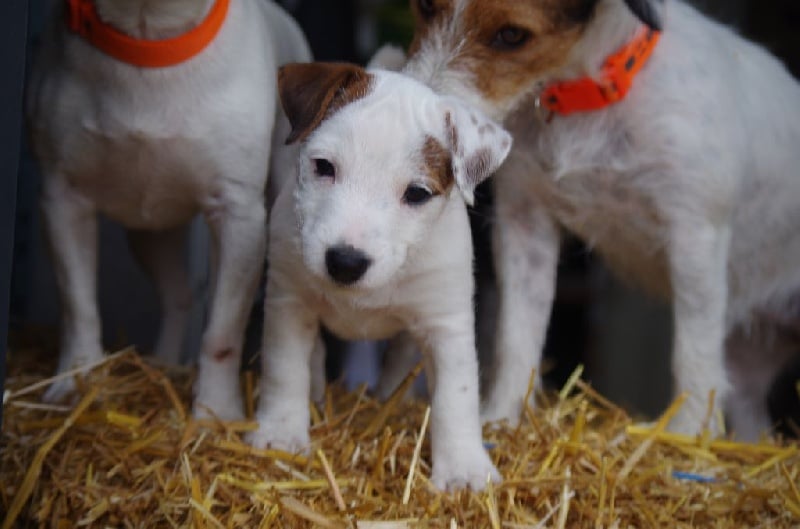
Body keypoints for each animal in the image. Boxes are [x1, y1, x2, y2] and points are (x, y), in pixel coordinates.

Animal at [26, 0, 310, 419]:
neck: (150, 39)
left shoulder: (238, 214)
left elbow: (222, 331)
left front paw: (216, 411)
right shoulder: (62, 197)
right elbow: (77, 304)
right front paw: (76, 384)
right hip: (150, 236)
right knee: (178, 295)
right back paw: (164, 363)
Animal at [246, 62, 512, 490]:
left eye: (417, 194)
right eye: (323, 167)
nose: (345, 262)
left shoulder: (446, 325)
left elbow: (456, 398)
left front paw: (464, 469)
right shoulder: (289, 302)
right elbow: (285, 370)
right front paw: (281, 434)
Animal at [397, 0, 800, 440]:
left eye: (512, 35)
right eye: (426, 6)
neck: (589, 98)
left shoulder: (696, 234)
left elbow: (694, 346)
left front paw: (685, 433)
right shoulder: (524, 223)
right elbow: (517, 332)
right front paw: (502, 417)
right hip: (750, 358)